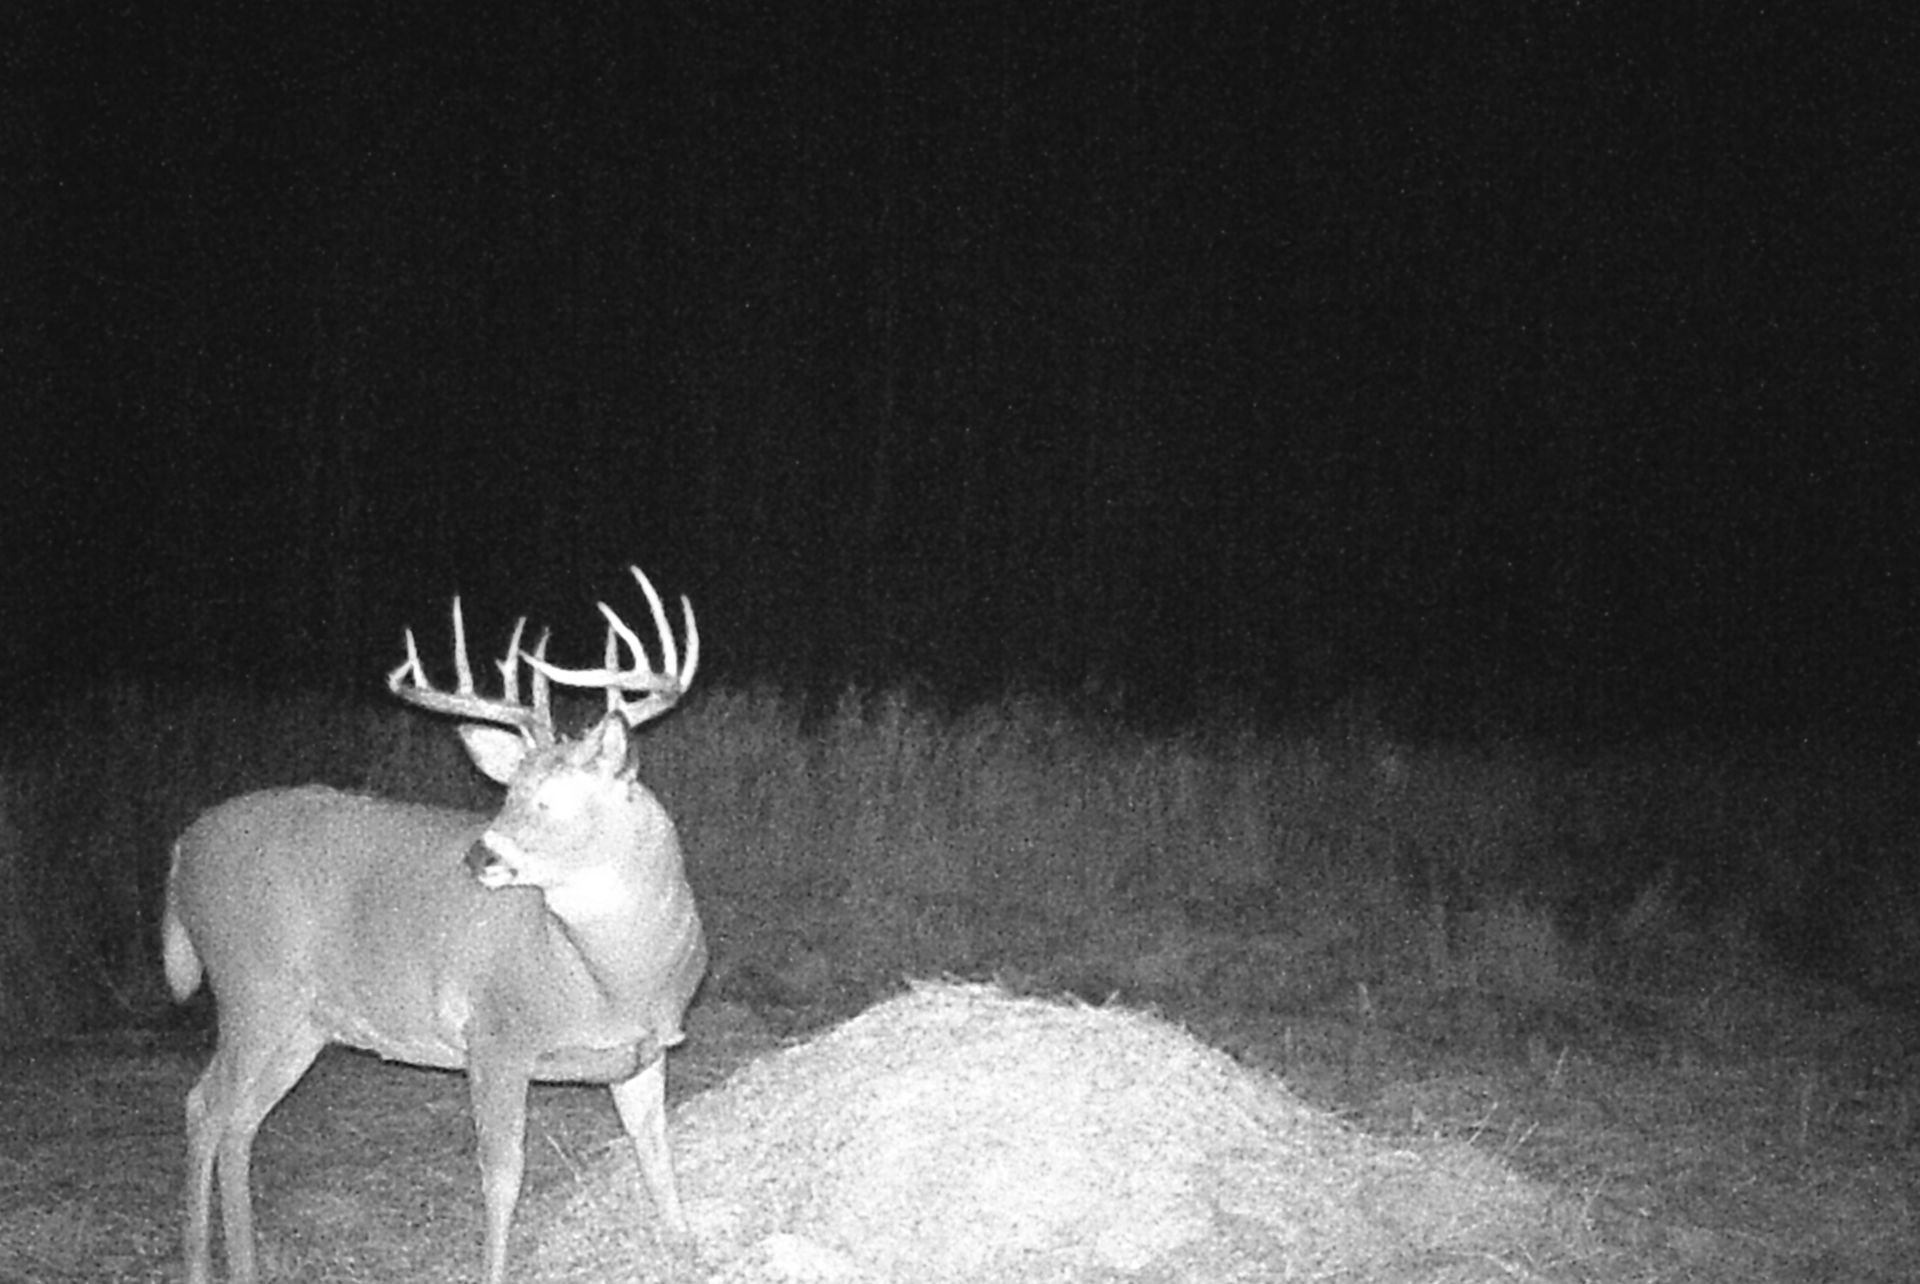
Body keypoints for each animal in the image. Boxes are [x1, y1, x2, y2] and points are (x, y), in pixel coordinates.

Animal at [162, 565, 707, 1284]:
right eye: (506, 793)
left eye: (556, 798)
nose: (480, 855)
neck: (615, 977)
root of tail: (181, 848)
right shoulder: (497, 1036)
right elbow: (502, 1174)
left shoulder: (643, 1055)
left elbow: (658, 1157)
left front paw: (687, 1251)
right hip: (252, 986)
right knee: (203, 1105)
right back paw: (200, 1262)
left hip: (306, 1022)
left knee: (240, 1121)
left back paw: (248, 1265)